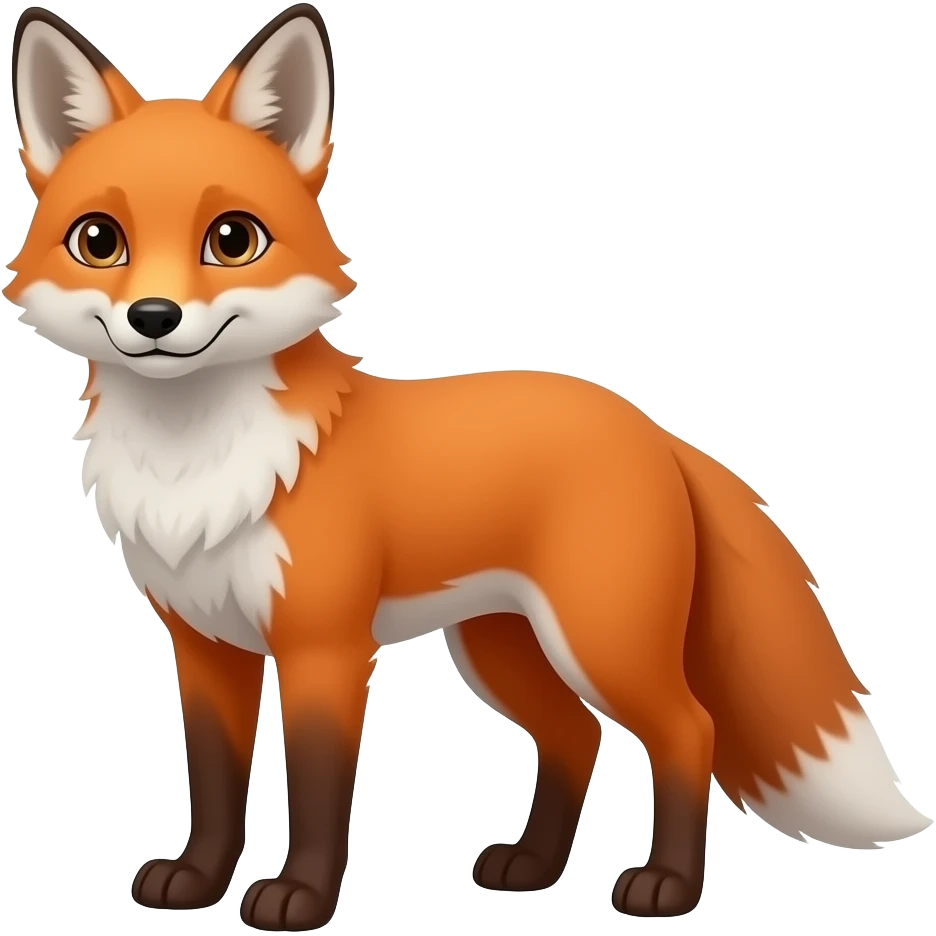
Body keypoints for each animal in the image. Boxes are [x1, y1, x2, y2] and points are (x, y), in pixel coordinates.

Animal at [5, 3, 931, 931]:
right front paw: (198, 882)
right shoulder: (204, 645)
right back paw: (532, 867)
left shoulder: (324, 647)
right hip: (501, 648)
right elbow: (215, 781)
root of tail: (651, 427)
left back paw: (665, 886)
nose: (154, 317)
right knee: (575, 736)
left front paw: (302, 896)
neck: (193, 466)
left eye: (232, 239)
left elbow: (317, 786)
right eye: (99, 241)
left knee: (687, 730)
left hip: (602, 641)